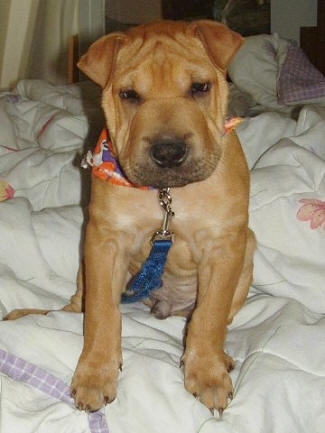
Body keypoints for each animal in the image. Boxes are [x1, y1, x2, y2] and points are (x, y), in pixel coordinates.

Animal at [4, 20, 253, 412]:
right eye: (129, 95)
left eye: (200, 87)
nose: (168, 152)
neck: (167, 194)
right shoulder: (105, 242)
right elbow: (102, 315)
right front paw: (95, 374)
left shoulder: (225, 244)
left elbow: (210, 316)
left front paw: (208, 372)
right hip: (85, 267)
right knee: (75, 308)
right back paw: (30, 315)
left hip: (248, 252)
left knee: (210, 315)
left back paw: (221, 356)